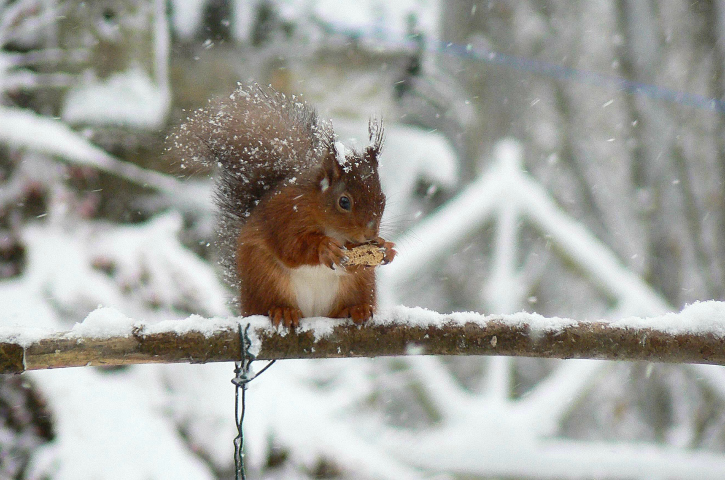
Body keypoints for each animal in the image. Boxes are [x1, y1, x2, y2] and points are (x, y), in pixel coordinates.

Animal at [170, 84, 396, 328]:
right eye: (344, 202)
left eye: (383, 199)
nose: (369, 234)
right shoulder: (285, 216)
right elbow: (291, 247)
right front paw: (324, 246)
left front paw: (386, 247)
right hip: (265, 278)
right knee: (271, 301)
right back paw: (283, 311)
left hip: (359, 285)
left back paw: (356, 308)